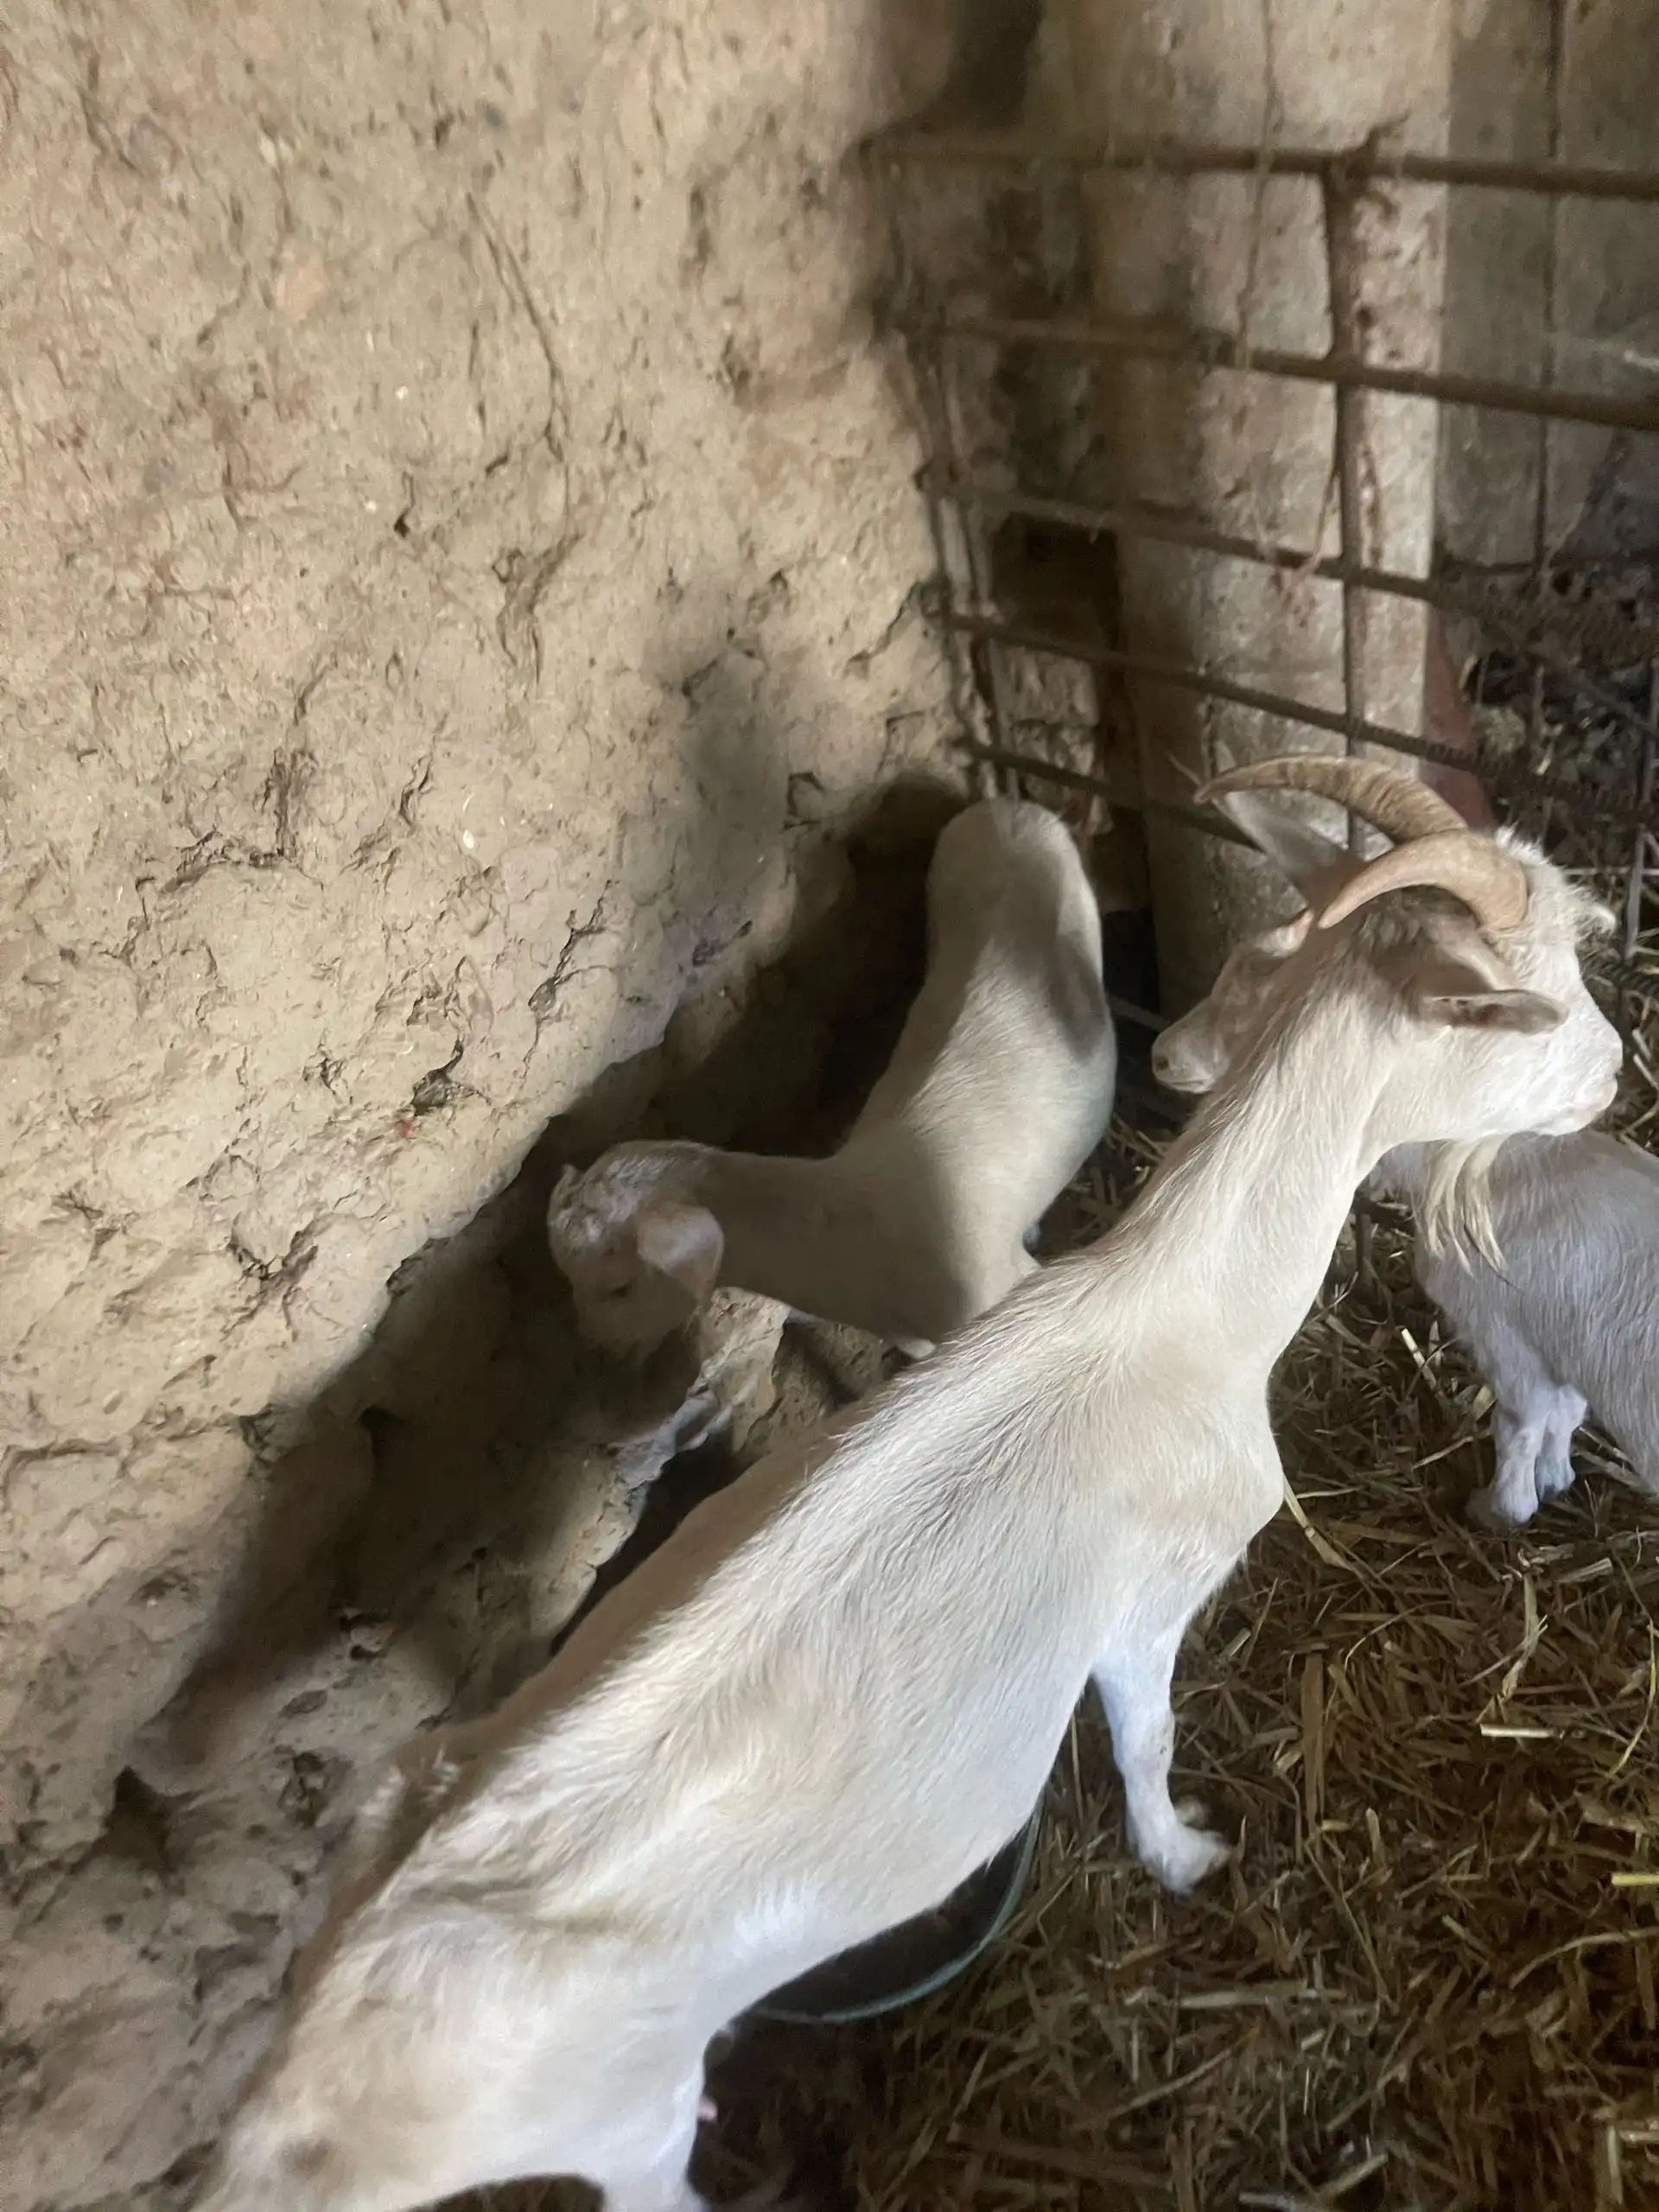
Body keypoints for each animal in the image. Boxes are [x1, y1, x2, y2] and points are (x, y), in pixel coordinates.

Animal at [1150, 759, 1645, 1529]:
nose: (1616, 1062)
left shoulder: (1508, 1334)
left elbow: (1523, 1420)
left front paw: (1498, 1512)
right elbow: (1554, 1416)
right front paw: (1545, 1487)